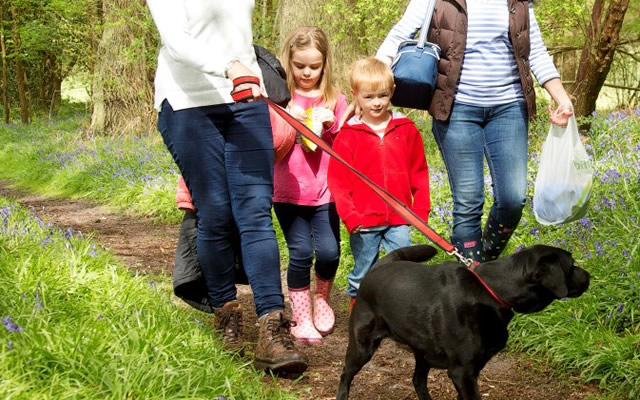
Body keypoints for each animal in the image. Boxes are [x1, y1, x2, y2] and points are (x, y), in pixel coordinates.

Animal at [336, 244, 592, 400]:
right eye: (571, 266)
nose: (589, 275)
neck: (493, 290)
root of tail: (380, 266)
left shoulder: (470, 371)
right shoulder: (463, 372)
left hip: (423, 351)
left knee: (418, 381)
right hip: (362, 346)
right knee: (345, 374)